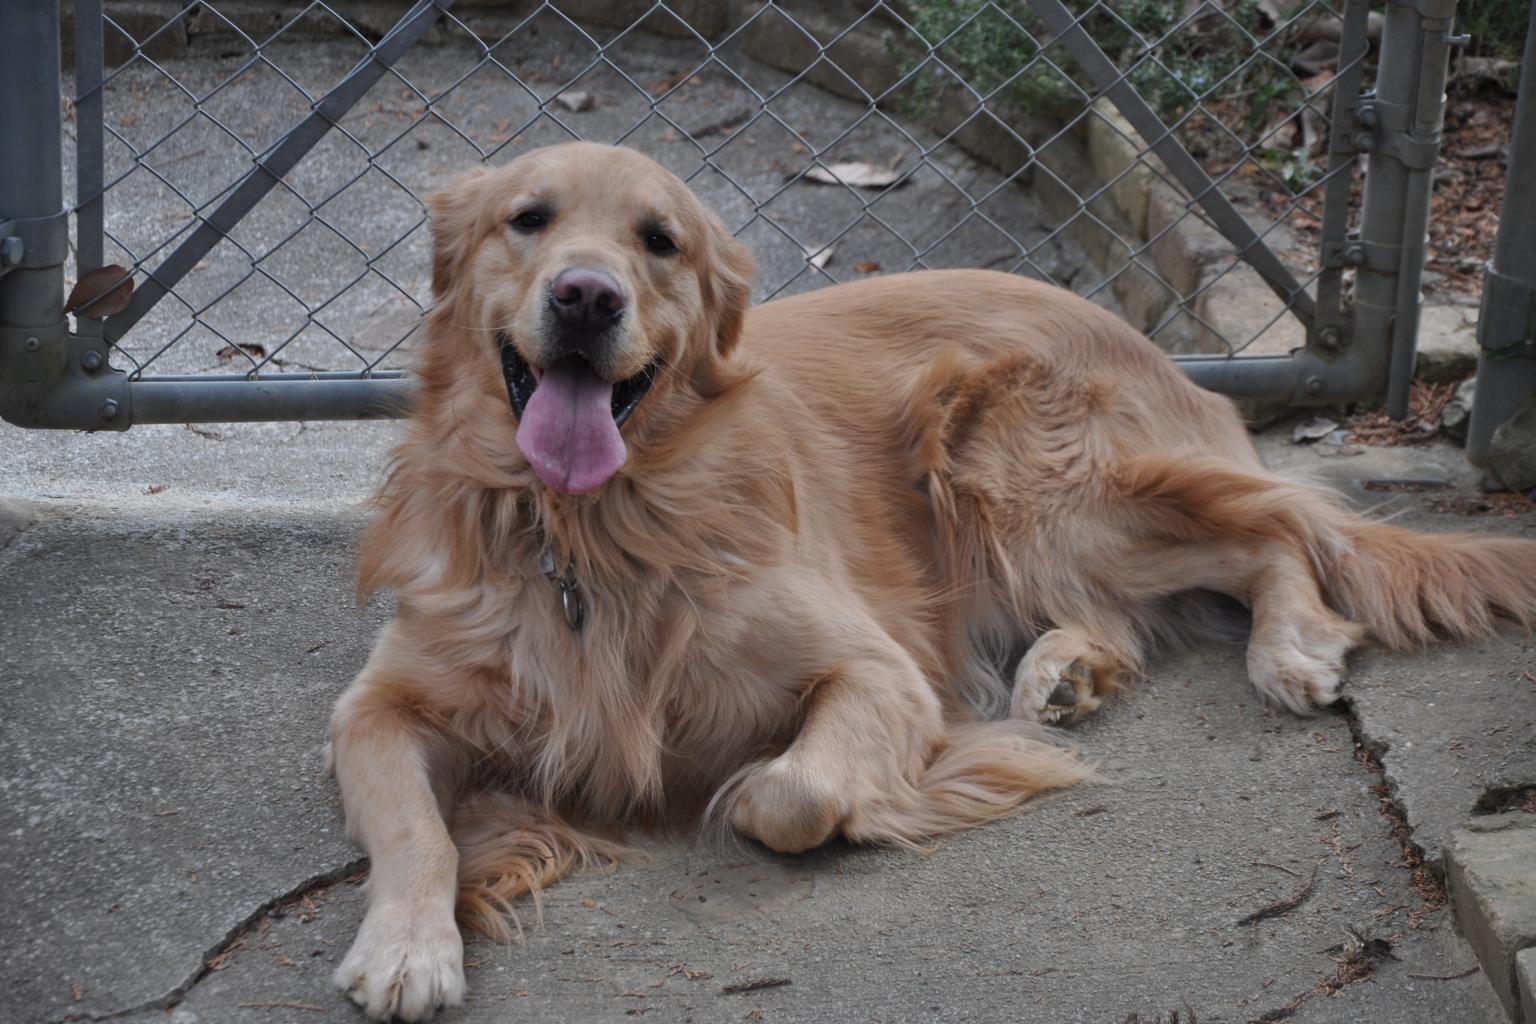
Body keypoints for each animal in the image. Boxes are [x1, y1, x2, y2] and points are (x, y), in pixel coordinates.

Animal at [327, 141, 1536, 1020]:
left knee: (1278, 526)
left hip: (1021, 478)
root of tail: (1147, 345)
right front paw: (408, 946)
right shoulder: (375, 706)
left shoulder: (879, 668)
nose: (586, 296)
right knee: (1150, 600)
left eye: (657, 241)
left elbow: (789, 793)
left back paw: (1286, 644)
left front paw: (817, 786)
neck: (588, 533)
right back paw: (1065, 674)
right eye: (527, 219)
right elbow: (416, 827)